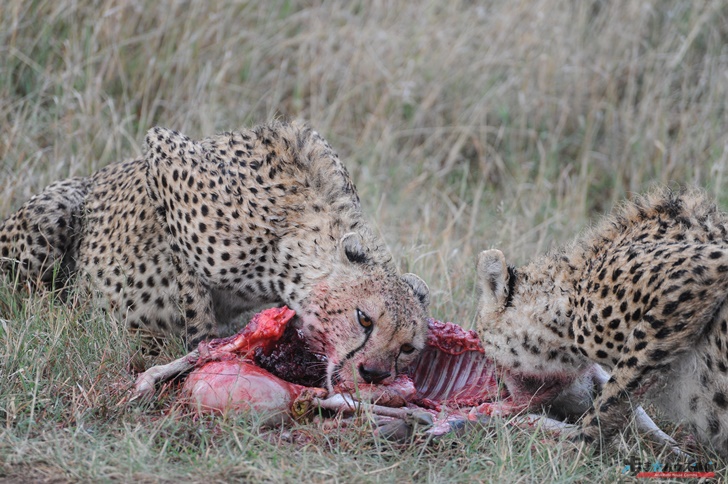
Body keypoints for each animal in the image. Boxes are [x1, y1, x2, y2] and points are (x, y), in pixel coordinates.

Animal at [0, 120, 430, 390]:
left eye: (408, 349)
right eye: (363, 318)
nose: (373, 373)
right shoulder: (163, 156)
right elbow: (193, 300)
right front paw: (200, 353)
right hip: (54, 210)